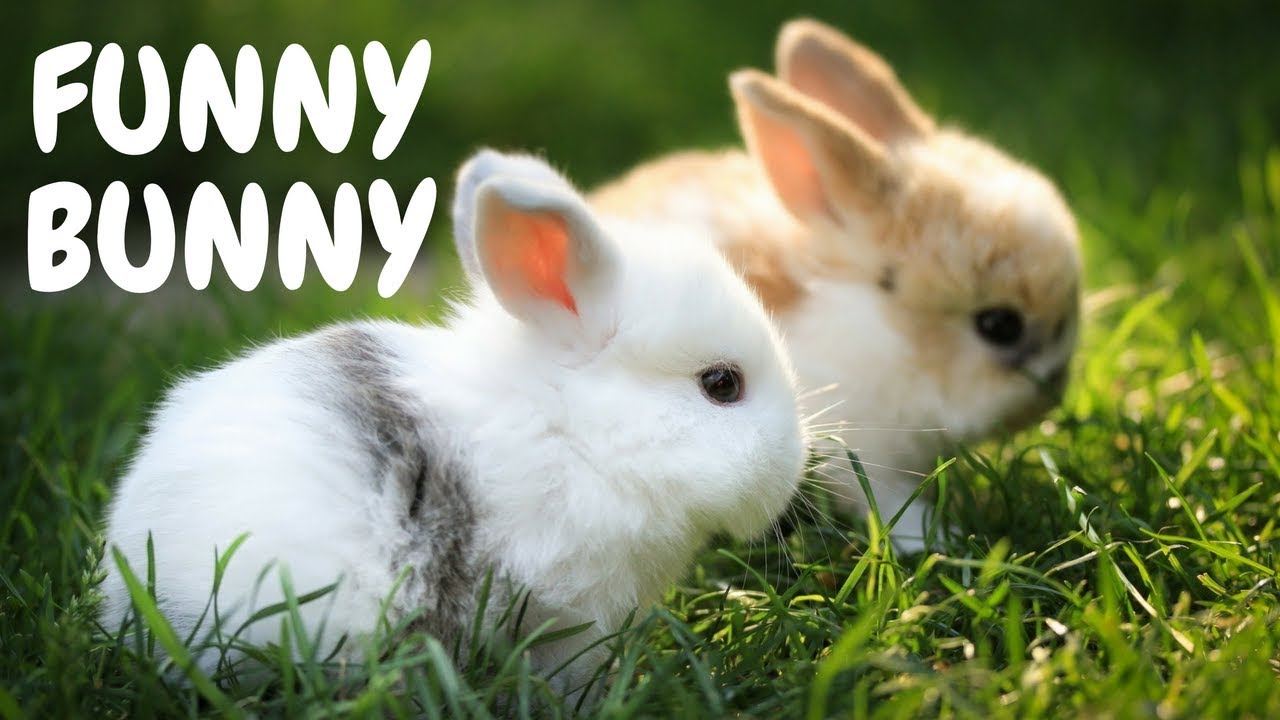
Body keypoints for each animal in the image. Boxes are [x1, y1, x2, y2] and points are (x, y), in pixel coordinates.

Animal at [591, 18, 1081, 552]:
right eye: (999, 325)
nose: (1052, 393)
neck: (886, 334)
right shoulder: (861, 452)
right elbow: (888, 501)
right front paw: (937, 540)